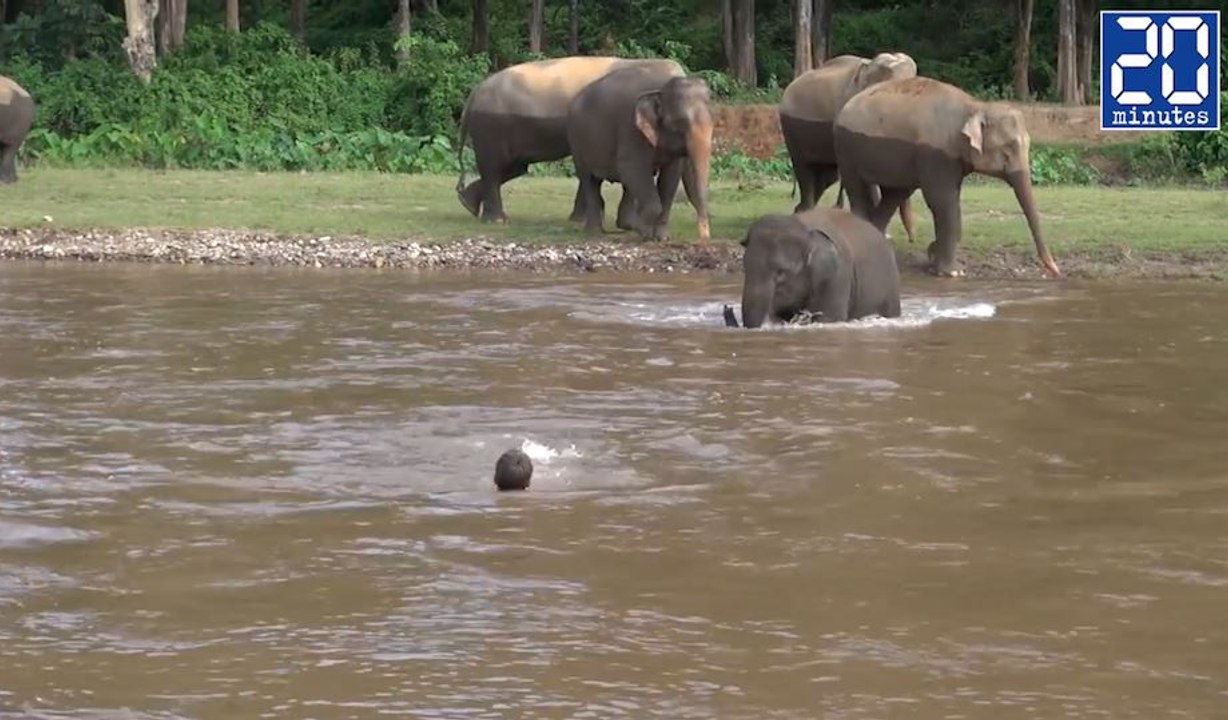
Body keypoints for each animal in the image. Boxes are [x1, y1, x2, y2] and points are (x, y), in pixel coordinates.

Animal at [454, 55, 680, 225]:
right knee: (494, 167)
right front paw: (582, 220)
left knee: (513, 167)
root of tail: (473, 96)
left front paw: (579, 220)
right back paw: (497, 220)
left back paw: (468, 204)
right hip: (489, 127)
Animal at [567, 62, 713, 242]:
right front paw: (646, 234)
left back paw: (625, 224)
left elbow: (670, 176)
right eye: (679, 124)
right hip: (576, 140)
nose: (705, 237)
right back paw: (595, 232)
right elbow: (631, 167)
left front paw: (662, 237)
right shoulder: (631, 128)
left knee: (626, 185)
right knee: (590, 179)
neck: (661, 87)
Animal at [724, 206, 901, 329]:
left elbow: (829, 318)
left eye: (781, 273)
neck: (803, 227)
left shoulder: (839, 276)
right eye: (745, 269)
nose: (727, 308)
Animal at [779, 52, 917, 241]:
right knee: (804, 168)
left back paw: (801, 211)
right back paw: (805, 214)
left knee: (827, 175)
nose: (912, 239)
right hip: (790, 129)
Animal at [833, 75, 1061, 278]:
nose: (1055, 271)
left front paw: (934, 256)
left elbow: (951, 200)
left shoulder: (952, 159)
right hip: (846, 148)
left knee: (895, 194)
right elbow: (943, 201)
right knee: (857, 189)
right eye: (1007, 150)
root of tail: (846, 105)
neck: (975, 106)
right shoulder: (935, 154)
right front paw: (952, 272)